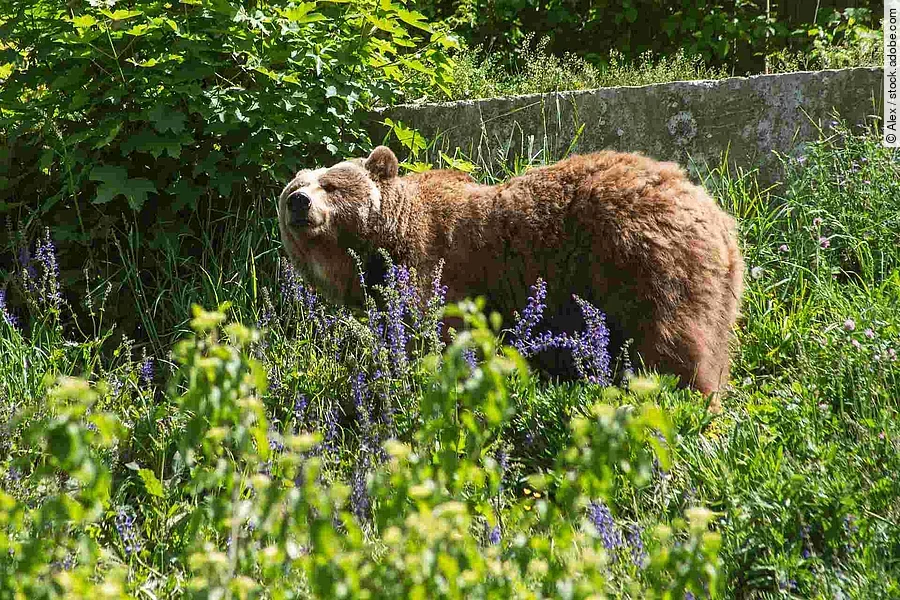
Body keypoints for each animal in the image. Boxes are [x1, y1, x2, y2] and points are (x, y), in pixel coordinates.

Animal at [277, 145, 744, 396]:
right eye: (292, 189)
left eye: (330, 185)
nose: (299, 202)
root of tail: (713, 211)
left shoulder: (442, 270)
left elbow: (445, 337)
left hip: (645, 263)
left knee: (671, 343)